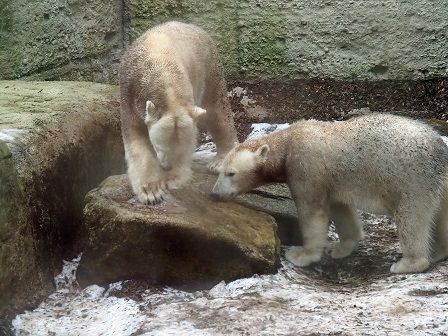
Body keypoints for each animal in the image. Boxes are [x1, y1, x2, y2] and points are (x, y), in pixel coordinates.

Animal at [119, 22, 238, 205]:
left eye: (179, 150)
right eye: (158, 147)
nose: (167, 167)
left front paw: (171, 179)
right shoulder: (129, 95)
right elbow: (136, 137)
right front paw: (151, 192)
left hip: (209, 67)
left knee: (217, 110)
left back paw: (220, 162)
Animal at [212, 114, 448, 274]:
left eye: (231, 173)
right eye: (221, 170)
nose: (215, 193)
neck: (287, 144)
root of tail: (441, 151)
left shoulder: (306, 167)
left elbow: (312, 212)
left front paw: (300, 254)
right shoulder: (333, 181)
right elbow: (341, 210)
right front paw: (340, 248)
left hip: (411, 179)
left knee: (411, 218)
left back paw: (407, 263)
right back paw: (438, 252)